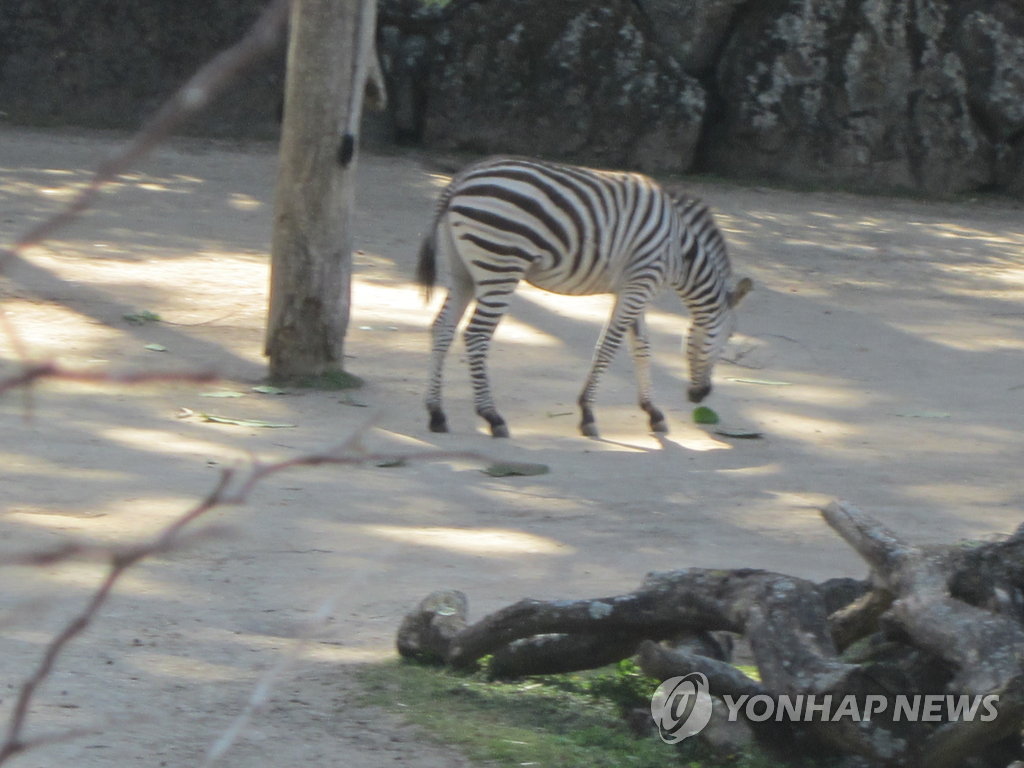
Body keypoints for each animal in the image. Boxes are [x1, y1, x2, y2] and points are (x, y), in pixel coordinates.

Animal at [415, 156, 753, 438]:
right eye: (728, 336)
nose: (700, 395)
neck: (680, 252)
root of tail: (462, 178)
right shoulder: (639, 284)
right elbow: (609, 346)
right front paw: (588, 413)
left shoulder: (635, 288)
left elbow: (642, 348)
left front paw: (652, 412)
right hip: (500, 264)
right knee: (476, 335)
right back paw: (492, 416)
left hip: (463, 271)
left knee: (442, 328)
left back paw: (436, 413)